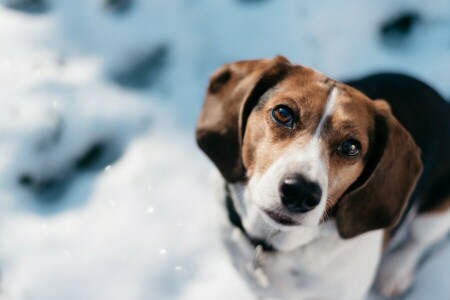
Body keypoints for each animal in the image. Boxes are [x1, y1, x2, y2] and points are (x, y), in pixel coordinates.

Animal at [196, 56, 450, 300]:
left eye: (351, 147)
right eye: (283, 113)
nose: (300, 192)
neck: (276, 245)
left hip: (434, 217)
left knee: (418, 241)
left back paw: (395, 272)